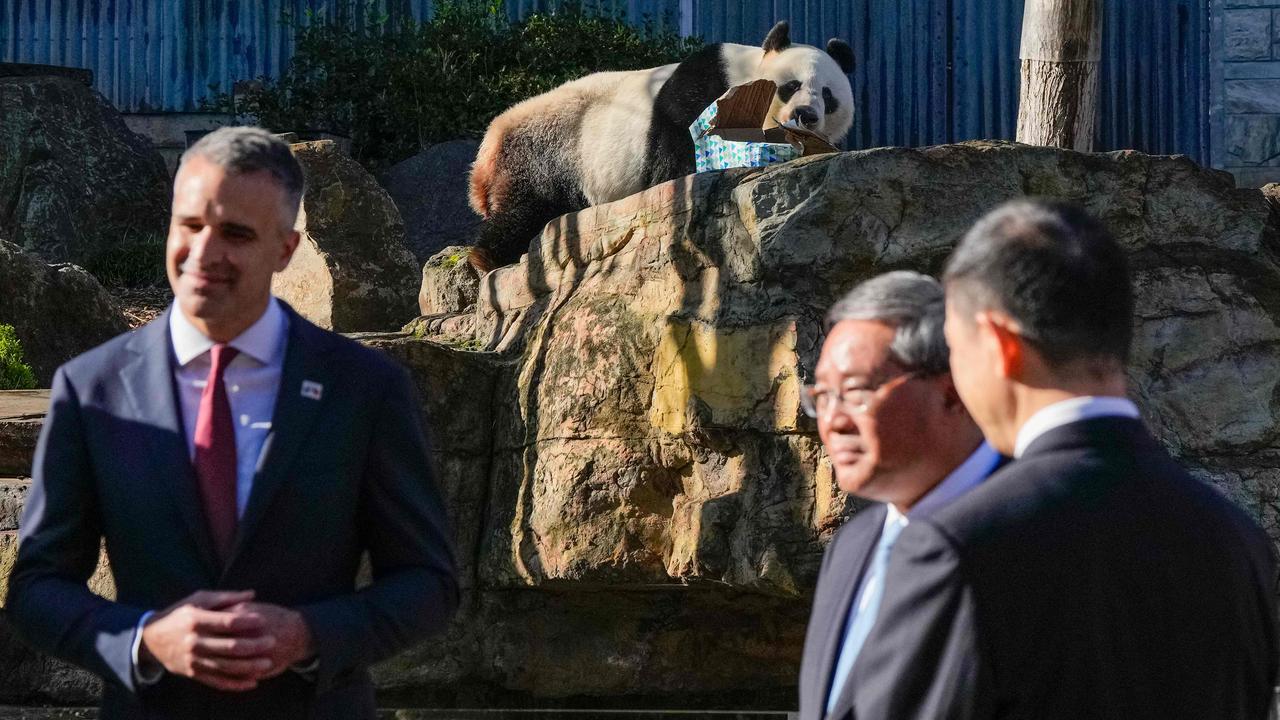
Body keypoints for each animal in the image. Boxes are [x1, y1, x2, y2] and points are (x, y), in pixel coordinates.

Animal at [468, 21, 849, 271]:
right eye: (790, 86)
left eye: (828, 96)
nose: (806, 115)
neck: (746, 75)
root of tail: (488, 148)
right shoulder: (704, 86)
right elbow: (675, 144)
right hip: (547, 148)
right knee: (525, 206)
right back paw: (488, 258)